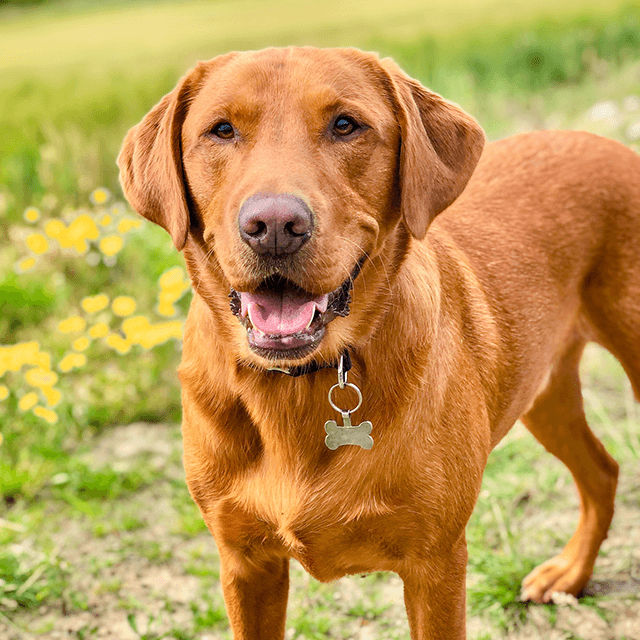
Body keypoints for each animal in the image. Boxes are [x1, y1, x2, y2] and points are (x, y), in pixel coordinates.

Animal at [117, 47, 636, 636]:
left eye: (346, 125)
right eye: (221, 130)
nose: (273, 226)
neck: (303, 382)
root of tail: (607, 142)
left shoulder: (435, 564)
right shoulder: (246, 564)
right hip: (543, 389)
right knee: (602, 472)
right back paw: (570, 573)